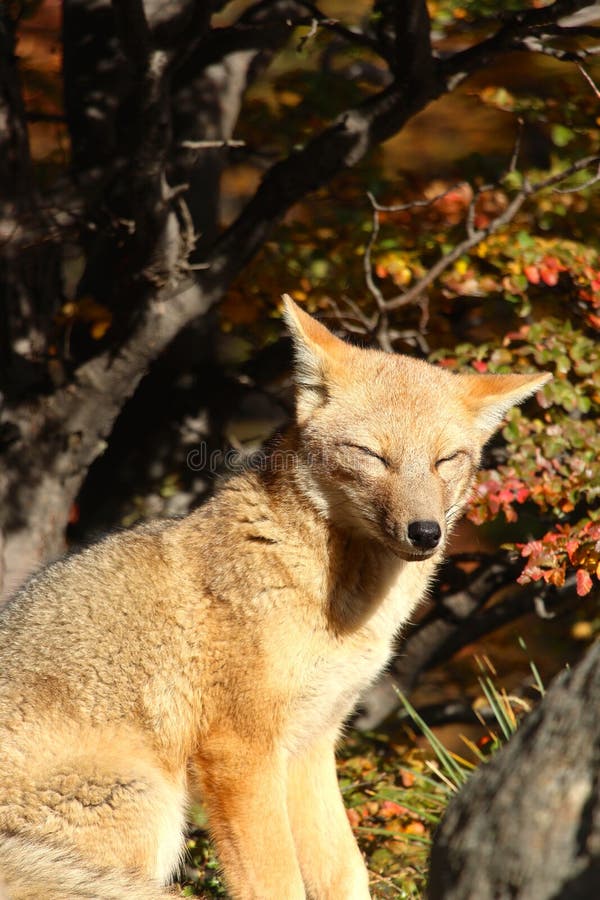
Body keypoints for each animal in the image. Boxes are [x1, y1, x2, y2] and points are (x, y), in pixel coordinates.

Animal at [0, 298, 552, 900]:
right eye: (370, 455)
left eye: (446, 460)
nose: (425, 532)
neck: (338, 608)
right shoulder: (243, 752)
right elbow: (277, 880)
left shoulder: (313, 743)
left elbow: (345, 870)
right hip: (149, 806)